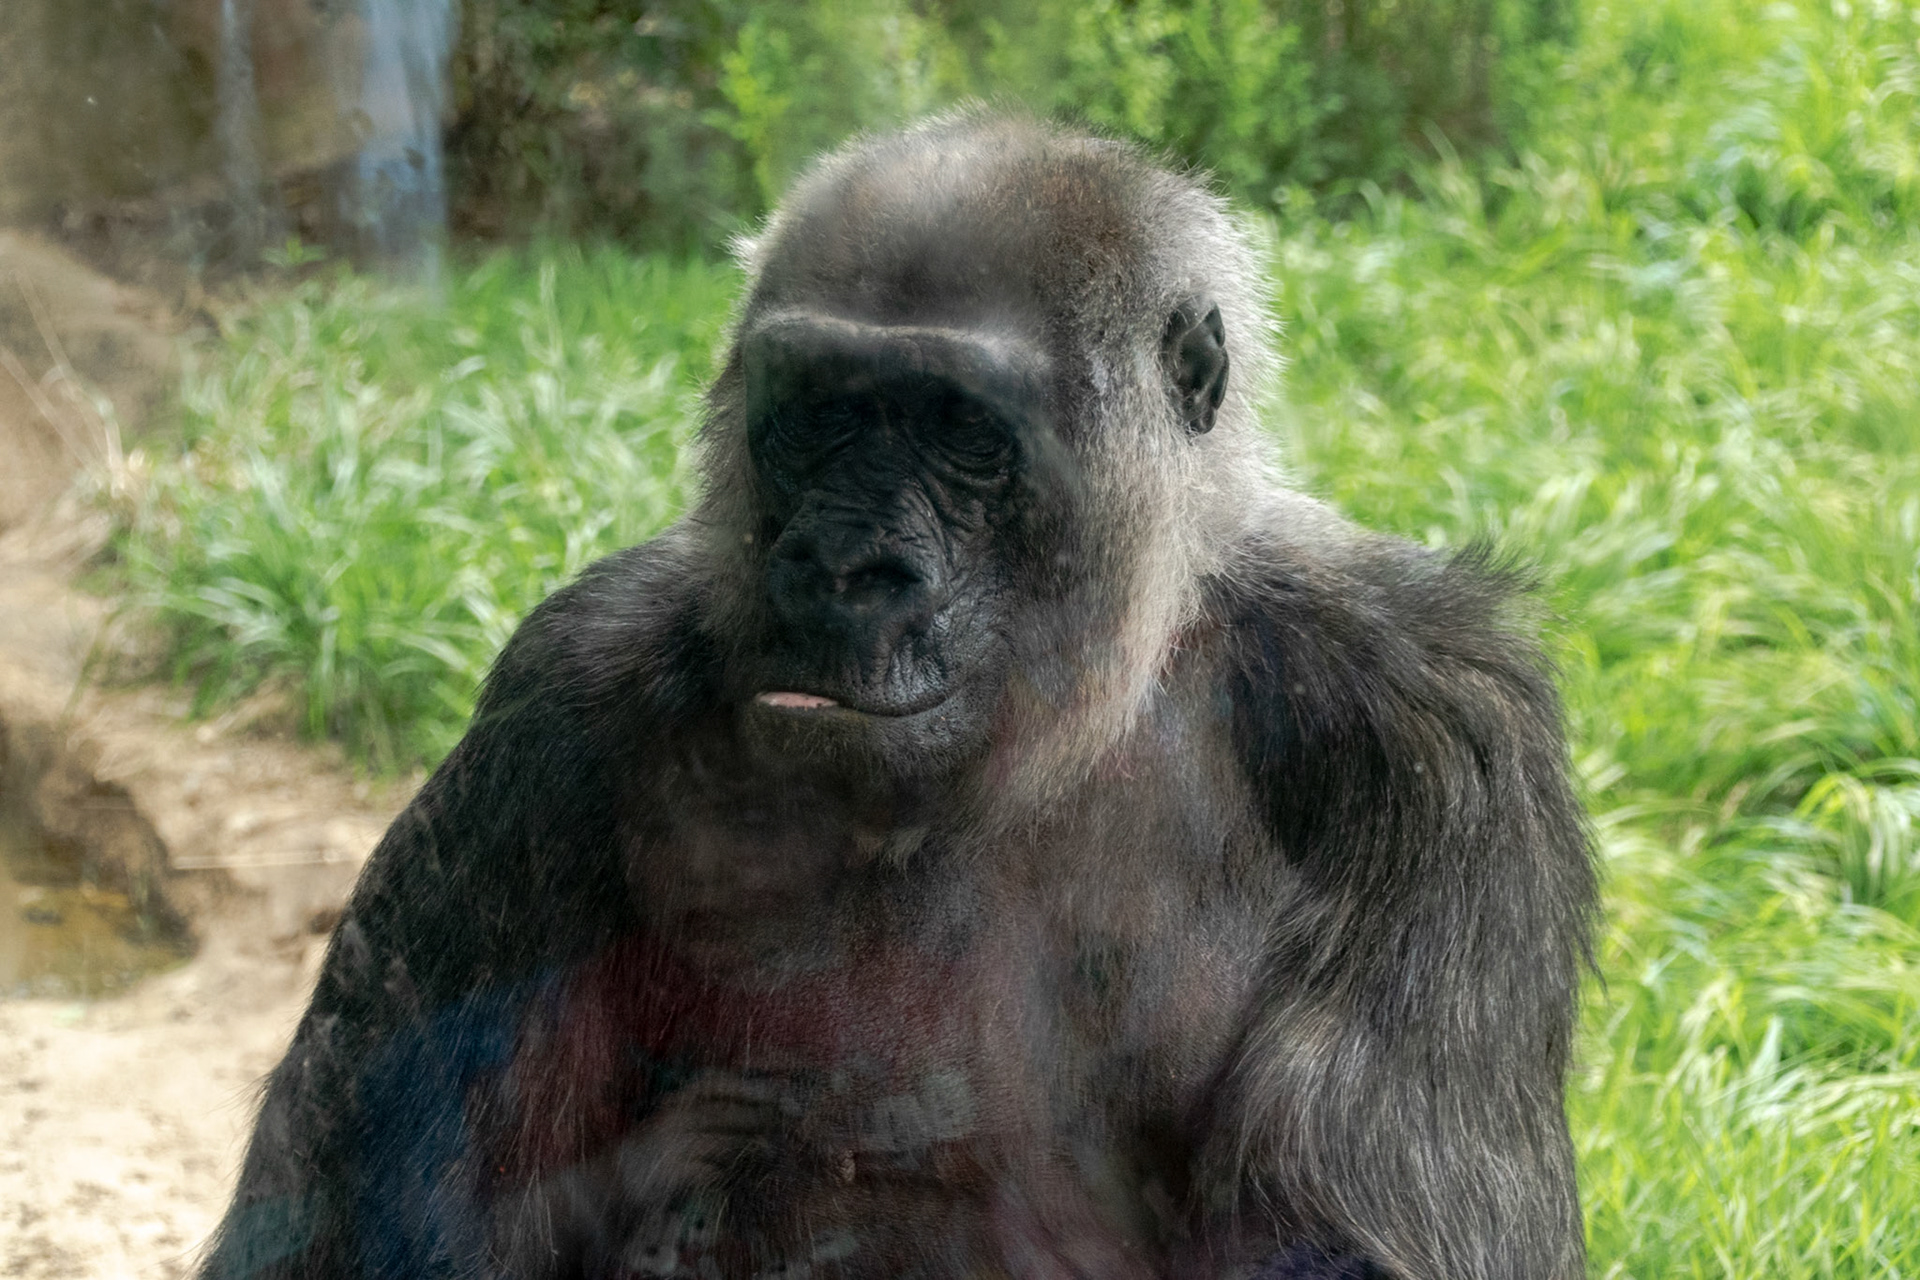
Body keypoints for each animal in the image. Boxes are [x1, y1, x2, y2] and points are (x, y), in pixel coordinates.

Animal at [197, 112, 1596, 1280]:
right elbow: (361, 1223)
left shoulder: (1437, 719)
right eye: (819, 412)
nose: (841, 562)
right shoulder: (552, 712)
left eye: (958, 428)